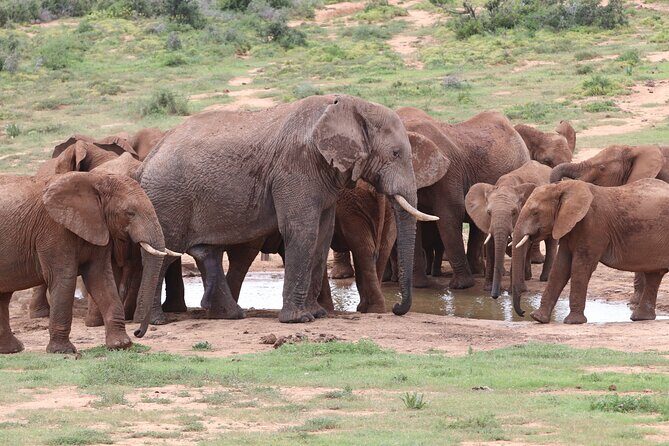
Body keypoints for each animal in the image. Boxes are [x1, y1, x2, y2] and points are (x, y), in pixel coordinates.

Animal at [0, 172, 166, 353]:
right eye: (130, 213)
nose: (137, 332)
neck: (94, 180)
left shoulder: (98, 226)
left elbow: (100, 278)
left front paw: (121, 345)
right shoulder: (54, 230)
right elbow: (64, 278)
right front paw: (62, 351)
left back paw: (12, 349)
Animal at [138, 95, 441, 324]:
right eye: (395, 154)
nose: (397, 309)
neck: (352, 104)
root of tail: (148, 159)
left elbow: (322, 234)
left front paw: (316, 314)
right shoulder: (296, 167)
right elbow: (302, 231)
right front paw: (299, 320)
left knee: (205, 252)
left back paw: (231, 315)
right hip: (168, 197)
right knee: (166, 251)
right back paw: (155, 321)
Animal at [397, 107, 530, 289]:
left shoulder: (449, 172)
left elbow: (450, 214)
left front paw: (460, 286)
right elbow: (416, 218)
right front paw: (420, 285)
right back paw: (477, 271)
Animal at [465, 161, 555, 298]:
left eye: (514, 212)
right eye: (489, 213)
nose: (495, 296)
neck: (506, 184)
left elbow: (517, 246)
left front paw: (514, 291)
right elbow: (491, 245)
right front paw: (488, 289)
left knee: (550, 242)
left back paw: (544, 278)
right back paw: (527, 277)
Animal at [512, 179, 669, 323]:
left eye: (535, 212)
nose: (523, 312)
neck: (565, 187)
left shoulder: (593, 226)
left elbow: (580, 267)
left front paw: (573, 322)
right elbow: (560, 267)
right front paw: (538, 318)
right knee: (654, 275)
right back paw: (641, 318)